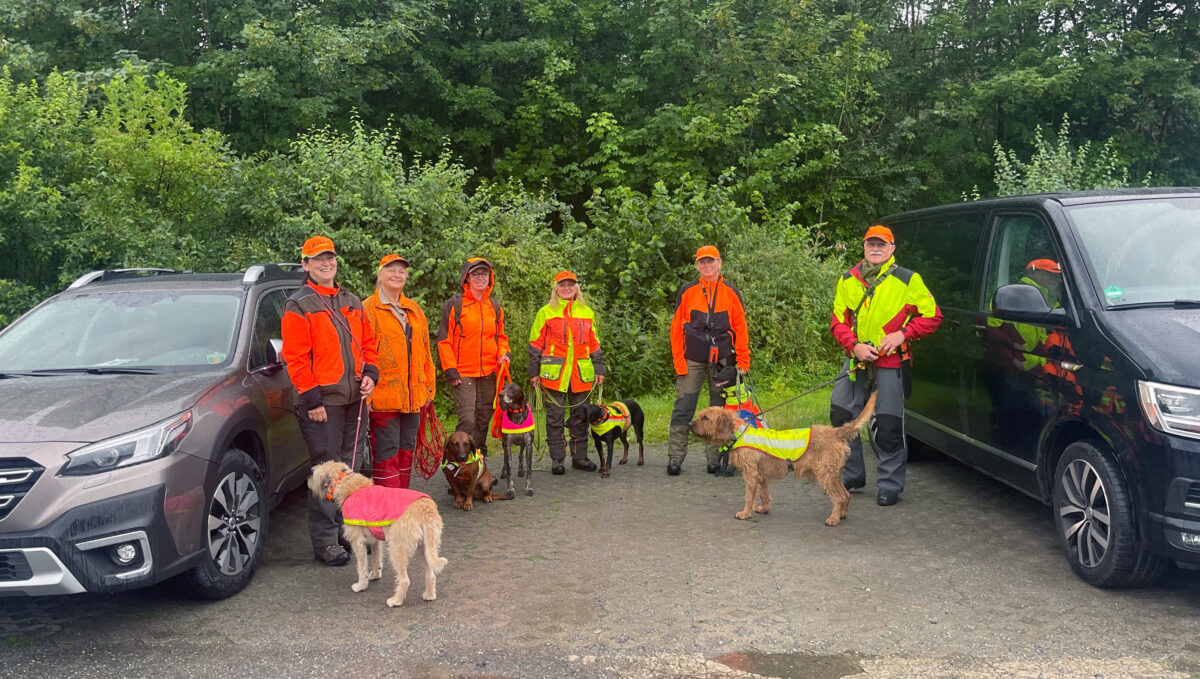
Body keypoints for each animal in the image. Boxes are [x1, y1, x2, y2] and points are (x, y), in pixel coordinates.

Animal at [309, 460, 451, 609]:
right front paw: (375, 574)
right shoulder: (375, 540)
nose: (308, 481)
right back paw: (429, 595)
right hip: (426, 548)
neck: (348, 483)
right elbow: (376, 558)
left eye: (314, 473)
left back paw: (396, 600)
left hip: (397, 548)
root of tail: (425, 510)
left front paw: (361, 585)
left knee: (405, 580)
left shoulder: (357, 542)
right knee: (431, 574)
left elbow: (361, 566)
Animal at [691, 391, 878, 530]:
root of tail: (835, 432)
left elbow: (749, 497)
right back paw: (842, 514)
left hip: (825, 475)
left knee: (839, 497)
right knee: (846, 495)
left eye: (706, 417)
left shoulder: (751, 475)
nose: (691, 424)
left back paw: (833, 519)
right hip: (834, 475)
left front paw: (745, 513)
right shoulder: (761, 476)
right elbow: (764, 494)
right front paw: (764, 509)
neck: (739, 432)